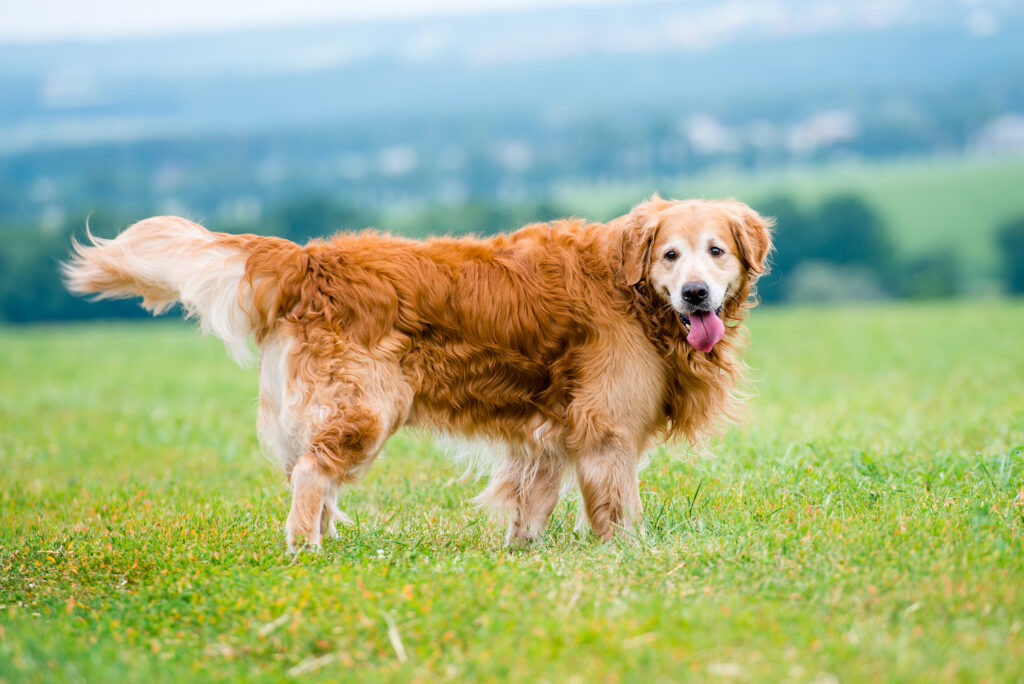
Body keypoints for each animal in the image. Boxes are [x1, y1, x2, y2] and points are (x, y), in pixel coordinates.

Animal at [61, 196, 770, 548]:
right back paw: (305, 549)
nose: (697, 295)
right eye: (670, 255)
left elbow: (534, 498)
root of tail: (309, 258)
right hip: (366, 409)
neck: (631, 292)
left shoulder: (551, 431)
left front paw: (523, 551)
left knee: (309, 471)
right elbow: (618, 508)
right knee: (312, 474)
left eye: (716, 251)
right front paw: (627, 555)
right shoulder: (605, 427)